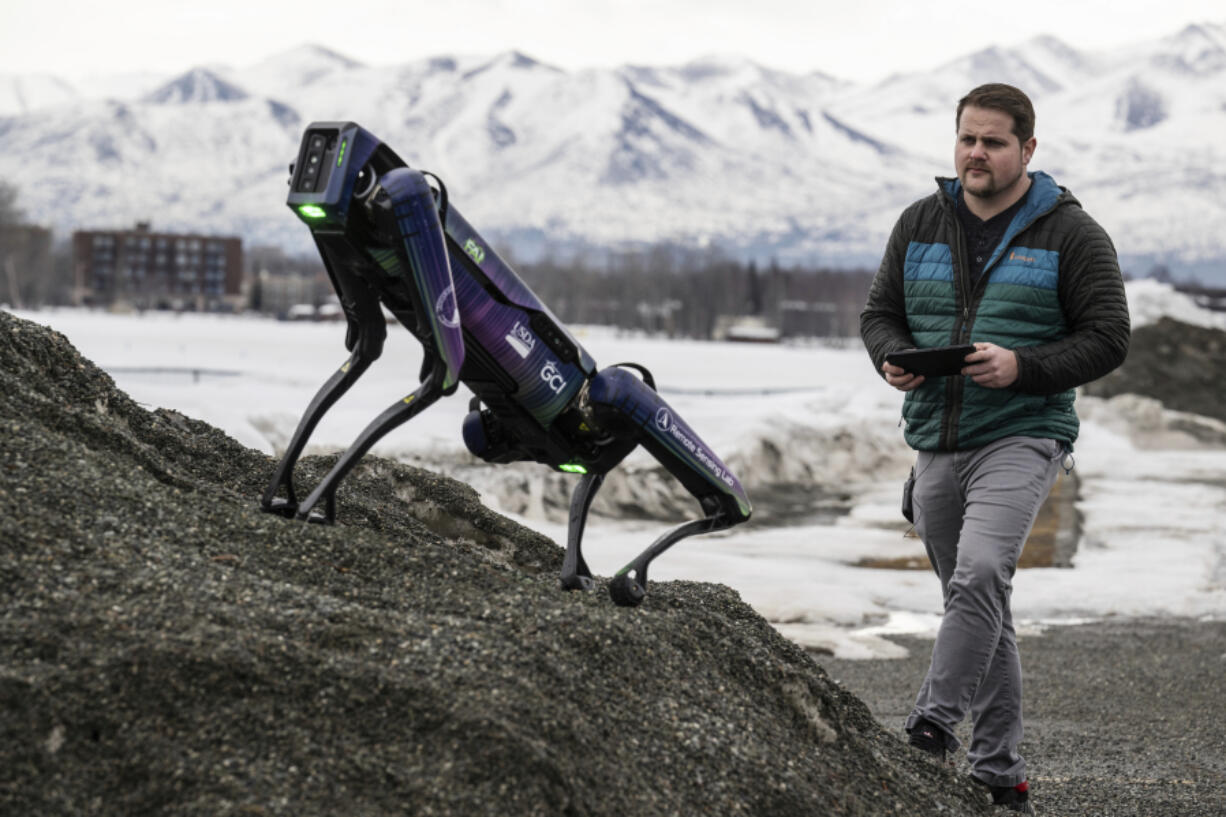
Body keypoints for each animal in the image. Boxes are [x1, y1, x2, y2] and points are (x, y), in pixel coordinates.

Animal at [263, 120, 750, 603]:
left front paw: (309, 507)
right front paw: (289, 503)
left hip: (612, 399)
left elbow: (437, 375)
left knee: (704, 481)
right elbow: (371, 355)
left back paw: (624, 574)